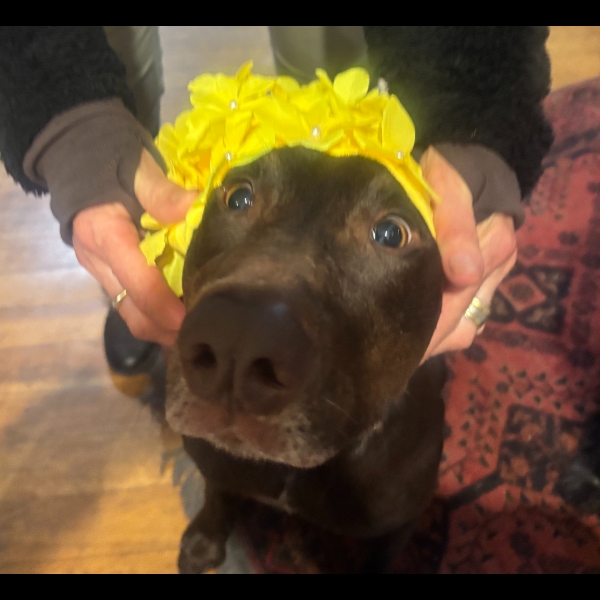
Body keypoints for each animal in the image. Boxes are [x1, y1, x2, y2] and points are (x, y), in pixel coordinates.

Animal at [164, 146, 446, 573]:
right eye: (238, 197)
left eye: (391, 234)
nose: (237, 339)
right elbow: (217, 491)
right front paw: (205, 538)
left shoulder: (399, 522)